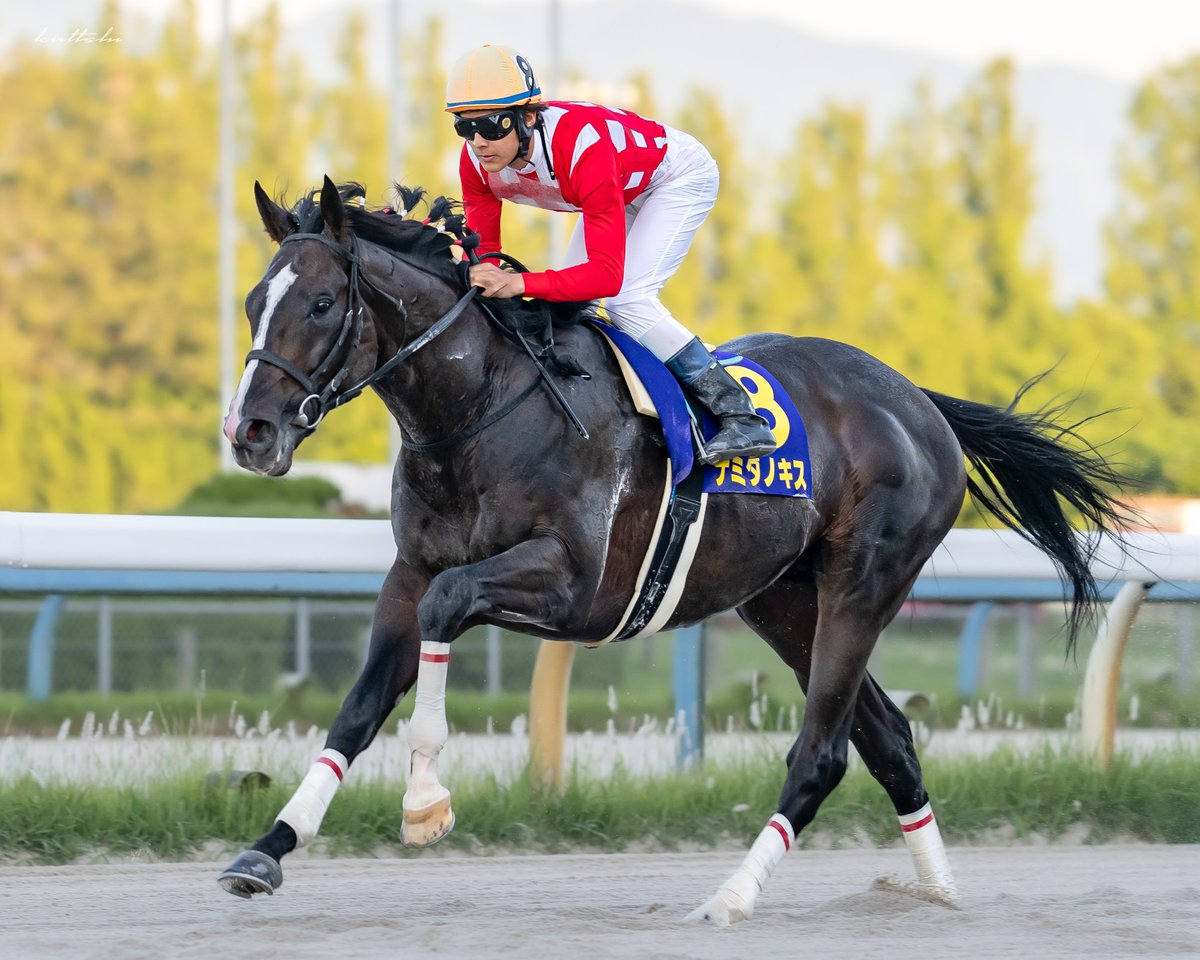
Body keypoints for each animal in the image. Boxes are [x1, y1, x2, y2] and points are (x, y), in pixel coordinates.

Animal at [217, 175, 1130, 923]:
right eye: (256, 299)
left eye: (323, 304)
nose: (250, 432)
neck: (481, 409)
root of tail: (919, 401)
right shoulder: (409, 576)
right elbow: (359, 705)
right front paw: (267, 849)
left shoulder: (574, 587)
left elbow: (451, 610)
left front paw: (426, 802)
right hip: (783, 601)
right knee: (889, 740)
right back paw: (935, 893)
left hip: (864, 582)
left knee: (823, 752)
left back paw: (731, 898)